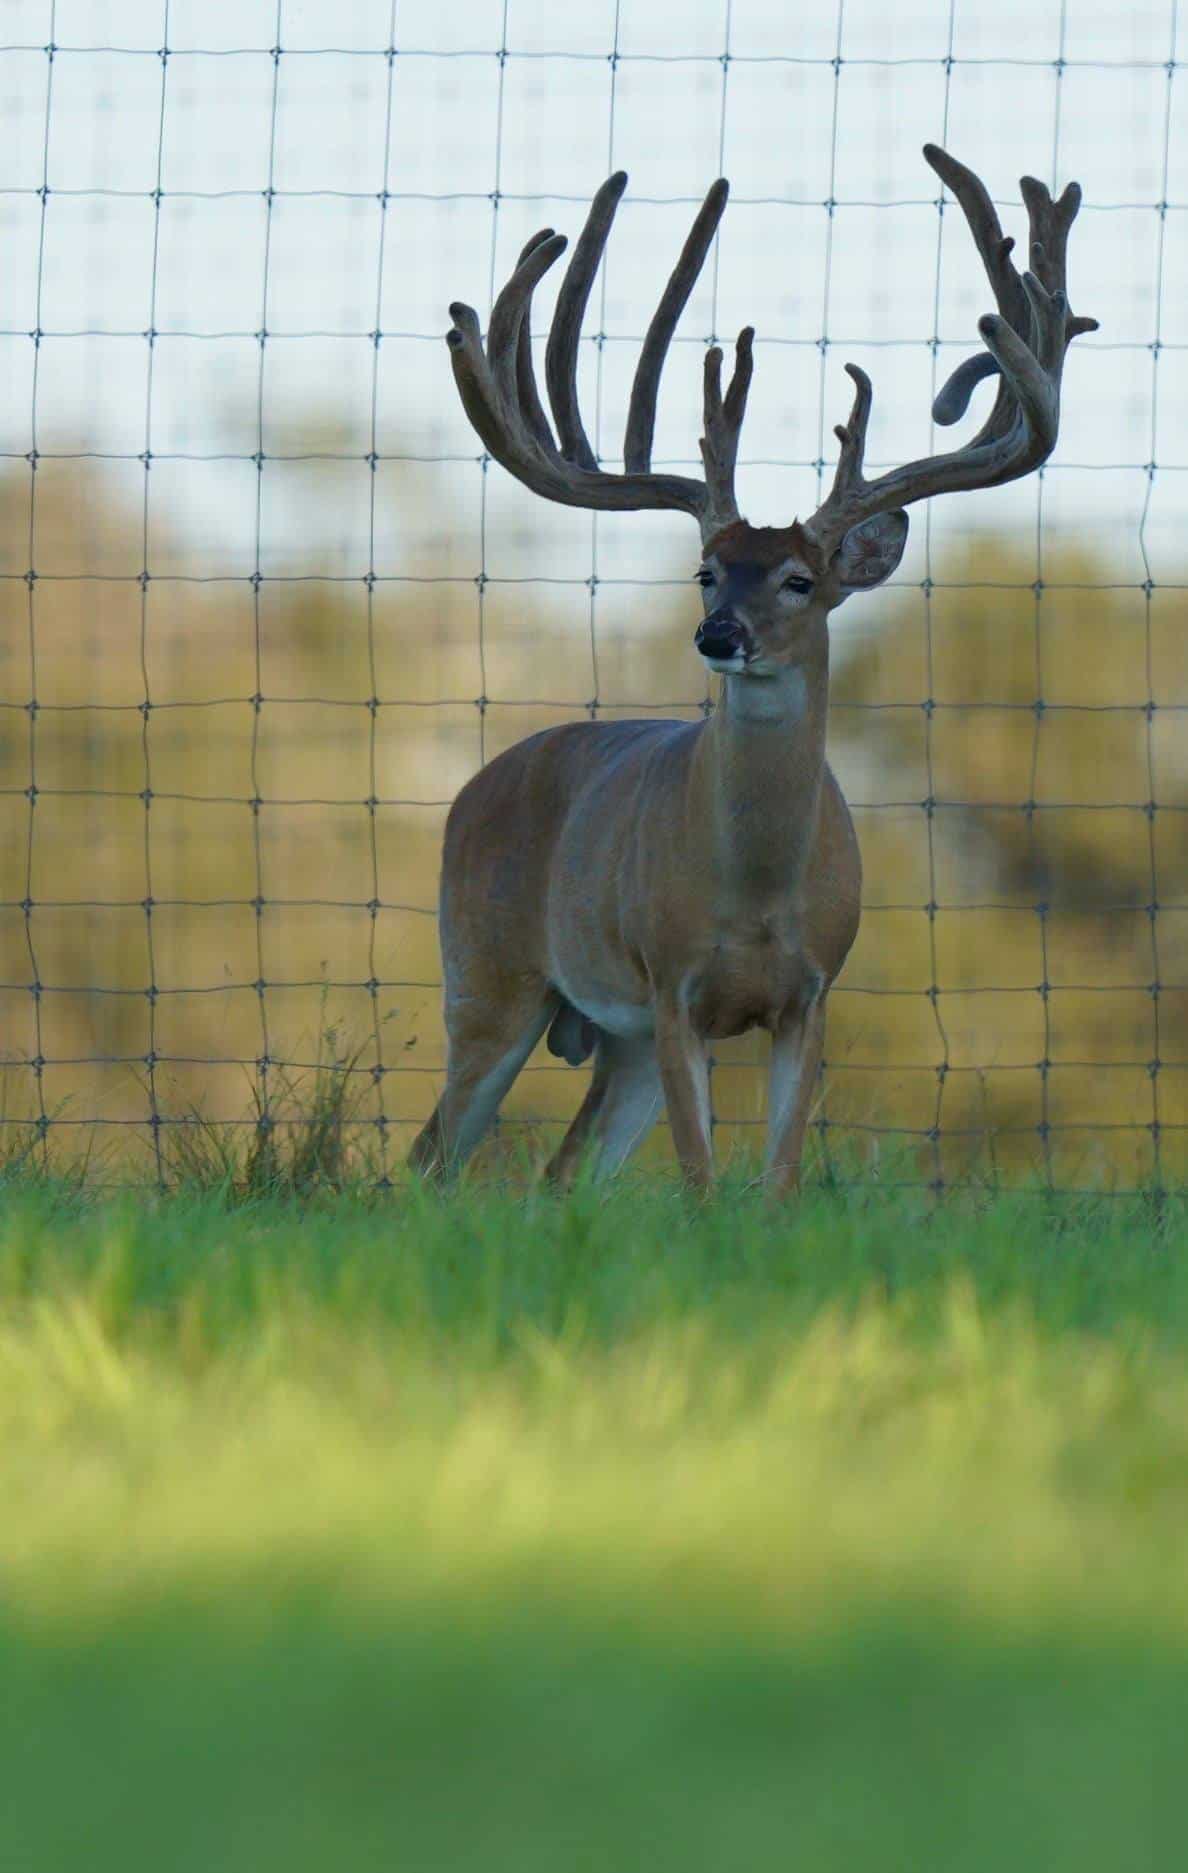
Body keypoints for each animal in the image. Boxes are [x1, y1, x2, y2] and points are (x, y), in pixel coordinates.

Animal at [409, 144, 1095, 1195]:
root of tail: (473, 787)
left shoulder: (810, 995)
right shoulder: (672, 986)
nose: (718, 634)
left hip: (608, 1039)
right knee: (431, 1156)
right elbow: (700, 1179)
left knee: (560, 1171)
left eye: (800, 579)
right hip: (488, 977)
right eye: (705, 569)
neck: (757, 895)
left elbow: (776, 1180)